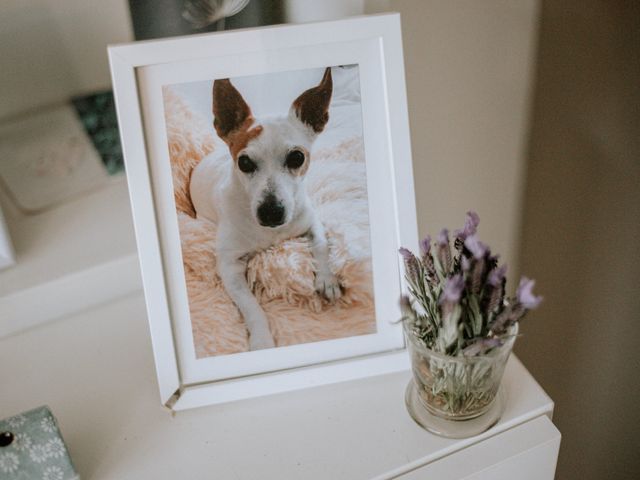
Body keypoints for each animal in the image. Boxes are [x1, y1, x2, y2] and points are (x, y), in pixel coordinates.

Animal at [190, 68, 342, 348]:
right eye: (244, 162)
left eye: (297, 157)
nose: (271, 211)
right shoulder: (229, 266)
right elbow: (252, 307)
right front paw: (262, 339)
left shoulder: (311, 221)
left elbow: (321, 244)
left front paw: (327, 279)